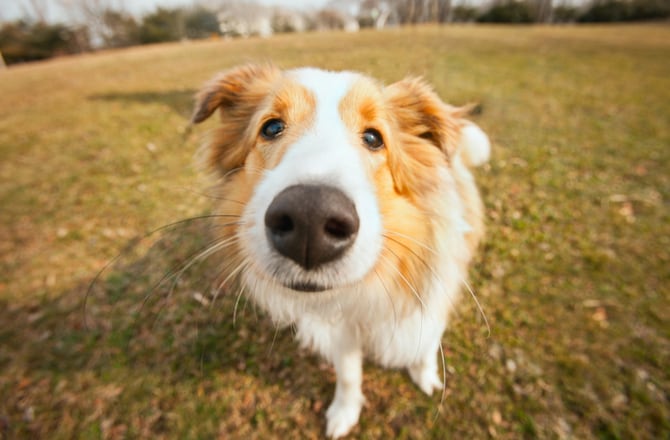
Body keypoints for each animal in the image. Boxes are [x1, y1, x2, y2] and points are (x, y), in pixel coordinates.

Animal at [192, 63, 490, 438]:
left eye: (374, 138)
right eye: (271, 127)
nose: (310, 218)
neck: (367, 289)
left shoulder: (433, 297)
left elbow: (424, 344)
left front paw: (425, 376)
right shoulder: (342, 330)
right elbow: (349, 375)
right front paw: (344, 412)